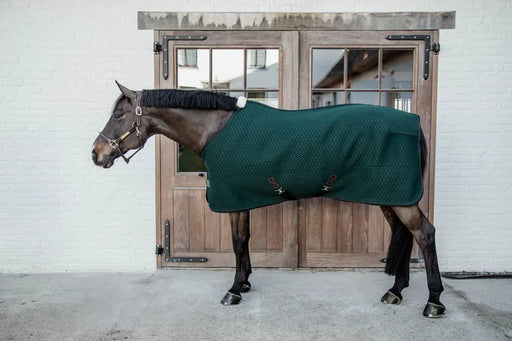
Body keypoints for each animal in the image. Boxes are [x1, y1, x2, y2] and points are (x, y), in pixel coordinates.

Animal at [94, 81, 446, 316]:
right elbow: (245, 240)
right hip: (389, 194)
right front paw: (245, 283)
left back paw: (433, 302)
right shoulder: (241, 198)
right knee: (403, 234)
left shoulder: (233, 199)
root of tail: (413, 124)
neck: (215, 129)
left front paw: (234, 290)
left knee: (425, 234)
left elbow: (237, 242)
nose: (96, 154)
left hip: (401, 199)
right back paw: (395, 291)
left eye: (118, 114)